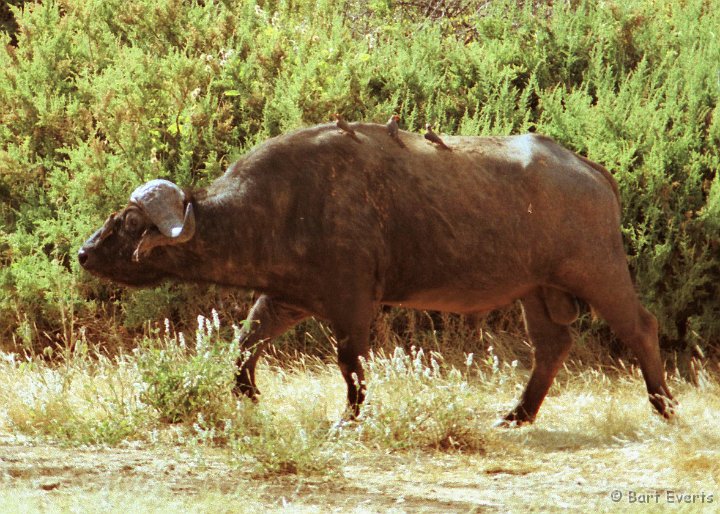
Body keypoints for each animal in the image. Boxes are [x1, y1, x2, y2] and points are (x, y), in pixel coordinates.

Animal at [77, 121, 676, 424]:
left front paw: (350, 417)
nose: (82, 253)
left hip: (599, 272)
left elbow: (351, 365)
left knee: (641, 327)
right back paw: (518, 413)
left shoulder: (352, 305)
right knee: (552, 346)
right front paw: (246, 394)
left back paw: (663, 406)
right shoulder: (286, 298)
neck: (280, 204)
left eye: (129, 223)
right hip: (536, 290)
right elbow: (246, 342)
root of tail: (591, 170)